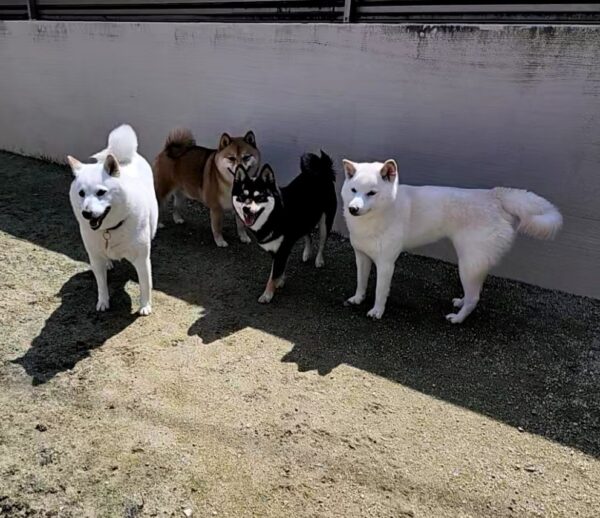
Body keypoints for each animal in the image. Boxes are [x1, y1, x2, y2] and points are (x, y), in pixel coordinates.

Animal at [68, 124, 158, 315]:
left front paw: (145, 306)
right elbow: (101, 284)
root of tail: (123, 158)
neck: (110, 230)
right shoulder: (95, 258)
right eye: (81, 193)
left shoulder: (141, 260)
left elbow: (145, 285)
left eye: (101, 192)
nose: (86, 213)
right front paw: (103, 302)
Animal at [232, 151, 337, 303]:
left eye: (260, 197)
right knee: (308, 236)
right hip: (303, 220)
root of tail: (322, 169)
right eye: (241, 196)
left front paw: (267, 294)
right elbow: (277, 271)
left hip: (325, 223)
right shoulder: (279, 250)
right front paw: (279, 281)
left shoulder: (281, 250)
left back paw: (319, 260)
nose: (246, 209)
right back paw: (306, 253)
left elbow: (274, 275)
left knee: (322, 243)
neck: (274, 215)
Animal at [341, 159, 563, 323]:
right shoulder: (361, 257)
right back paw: (461, 303)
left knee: (474, 298)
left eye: (372, 193)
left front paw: (377, 311)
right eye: (353, 190)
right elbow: (361, 282)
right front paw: (358, 298)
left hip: (468, 265)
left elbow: (380, 291)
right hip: (474, 264)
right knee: (474, 292)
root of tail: (495, 196)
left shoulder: (386, 264)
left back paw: (457, 318)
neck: (377, 217)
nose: (353, 209)